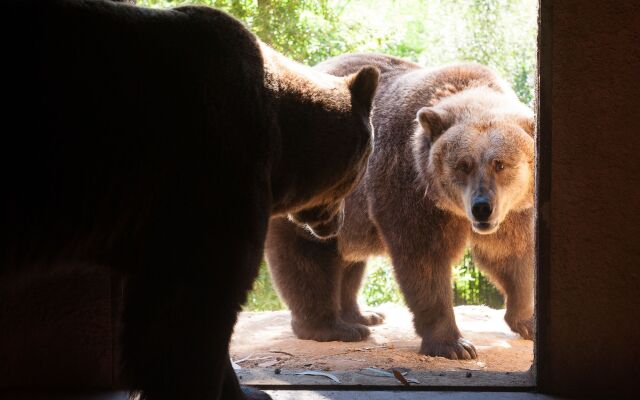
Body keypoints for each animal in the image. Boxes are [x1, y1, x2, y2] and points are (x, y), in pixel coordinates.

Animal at [264, 53, 536, 360]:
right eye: (462, 165)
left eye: (499, 164)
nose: (481, 208)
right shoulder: (410, 188)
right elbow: (424, 261)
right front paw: (454, 344)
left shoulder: (513, 208)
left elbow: (511, 253)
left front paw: (527, 320)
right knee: (306, 258)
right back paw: (334, 327)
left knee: (349, 262)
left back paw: (363, 315)